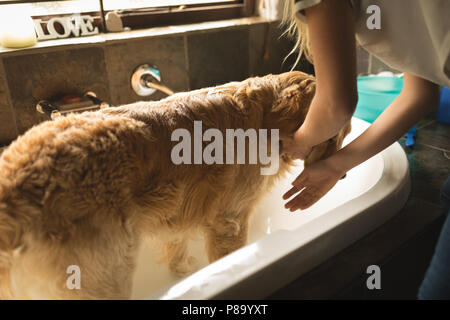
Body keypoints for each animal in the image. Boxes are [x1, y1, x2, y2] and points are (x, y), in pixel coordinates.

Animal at [0, 71, 352, 298]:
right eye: (337, 134)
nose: (343, 175)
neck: (264, 116)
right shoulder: (230, 219)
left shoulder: (176, 209)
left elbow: (177, 246)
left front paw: (186, 272)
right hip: (103, 275)